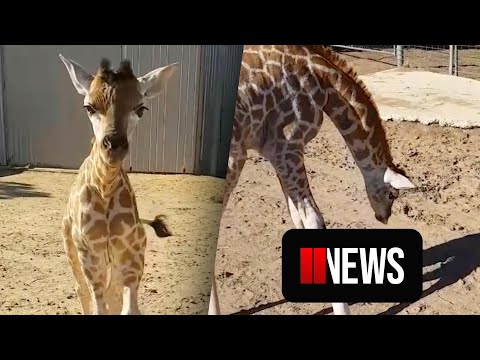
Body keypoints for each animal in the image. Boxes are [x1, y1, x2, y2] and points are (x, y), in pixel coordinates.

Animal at [59, 54, 178, 316]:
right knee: (81, 289)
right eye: (89, 107)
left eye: (141, 108)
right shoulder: (89, 252)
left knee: (111, 293)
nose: (114, 147)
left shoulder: (131, 252)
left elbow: (125, 306)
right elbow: (100, 304)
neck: (105, 186)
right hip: (72, 248)